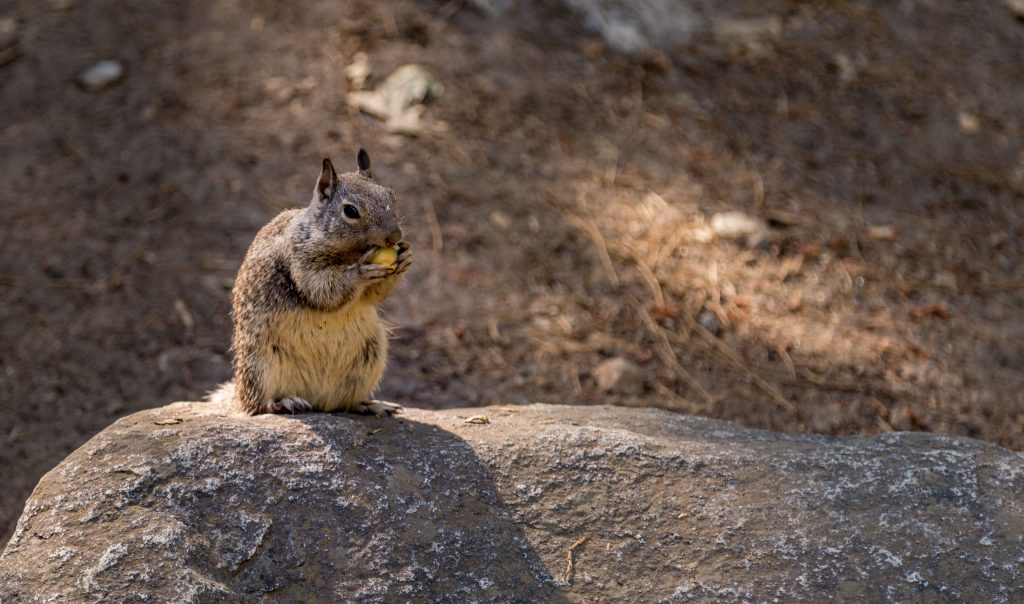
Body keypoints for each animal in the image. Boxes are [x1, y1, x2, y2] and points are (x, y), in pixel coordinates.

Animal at [210, 149, 412, 416]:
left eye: (391, 195)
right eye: (351, 211)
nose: (395, 236)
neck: (350, 253)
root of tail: (318, 401)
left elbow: (374, 295)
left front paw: (405, 256)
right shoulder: (300, 263)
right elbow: (322, 290)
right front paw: (360, 271)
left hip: (371, 357)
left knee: (343, 403)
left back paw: (370, 405)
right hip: (260, 366)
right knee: (257, 405)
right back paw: (284, 402)